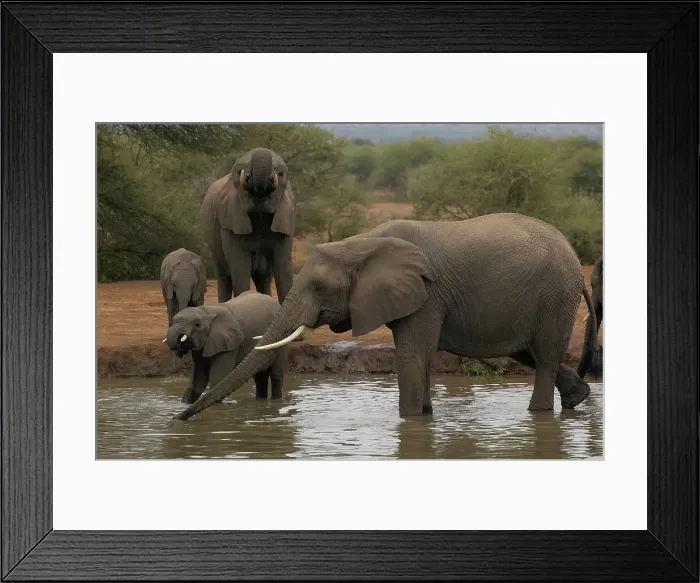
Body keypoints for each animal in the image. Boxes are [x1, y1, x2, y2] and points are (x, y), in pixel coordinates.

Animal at [174, 213, 599, 422]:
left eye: (319, 288)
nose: (179, 420)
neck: (360, 243)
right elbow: (421, 358)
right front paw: (425, 417)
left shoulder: (426, 293)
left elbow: (411, 355)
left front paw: (410, 422)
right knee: (527, 352)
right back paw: (578, 399)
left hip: (554, 296)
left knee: (544, 356)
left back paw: (540, 415)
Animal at [200, 147, 295, 306]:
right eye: (240, 172)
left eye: (281, 174)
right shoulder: (230, 218)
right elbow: (240, 268)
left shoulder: (285, 219)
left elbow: (283, 268)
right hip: (213, 241)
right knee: (224, 277)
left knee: (264, 279)